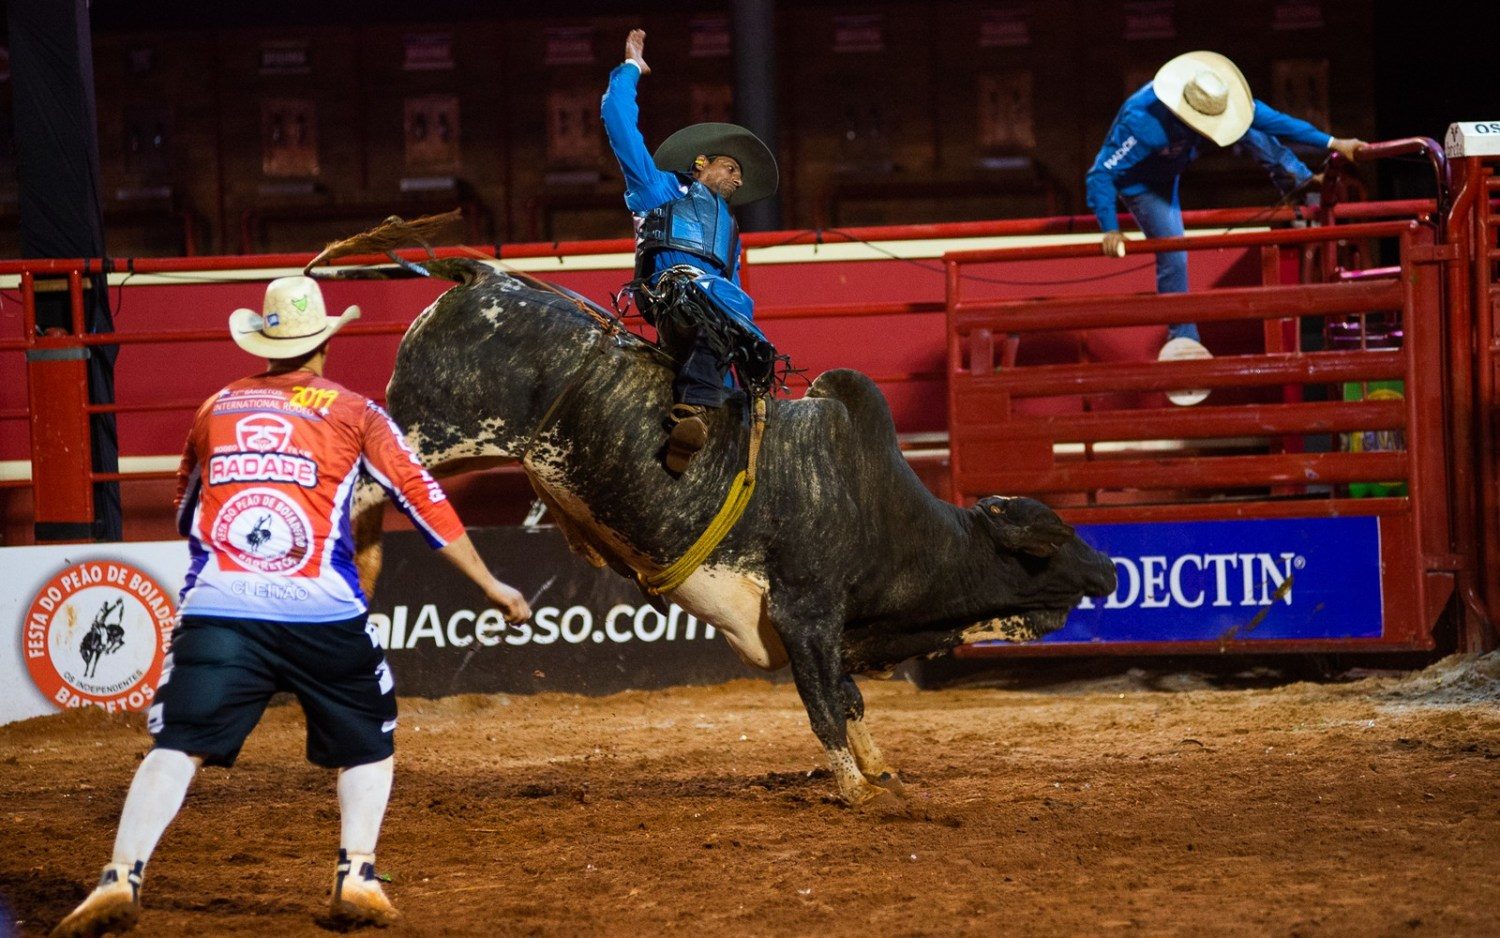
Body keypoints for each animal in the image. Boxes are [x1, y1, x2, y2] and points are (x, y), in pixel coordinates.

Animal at [351, 256, 1116, 804]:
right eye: (1051, 541)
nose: (1109, 569)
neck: (883, 515)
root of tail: (484, 277)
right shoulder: (806, 613)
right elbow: (826, 704)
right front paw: (854, 787)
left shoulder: (830, 627)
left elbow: (849, 697)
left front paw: (881, 770)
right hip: (433, 431)